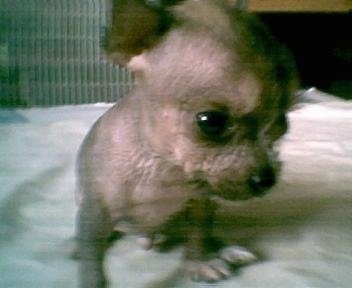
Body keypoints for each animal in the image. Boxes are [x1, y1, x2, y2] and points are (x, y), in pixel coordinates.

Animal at [75, 1, 298, 286]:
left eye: (283, 124)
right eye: (211, 122)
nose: (267, 180)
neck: (161, 166)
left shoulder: (201, 203)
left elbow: (198, 235)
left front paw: (199, 262)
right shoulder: (95, 213)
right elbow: (92, 264)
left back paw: (227, 249)